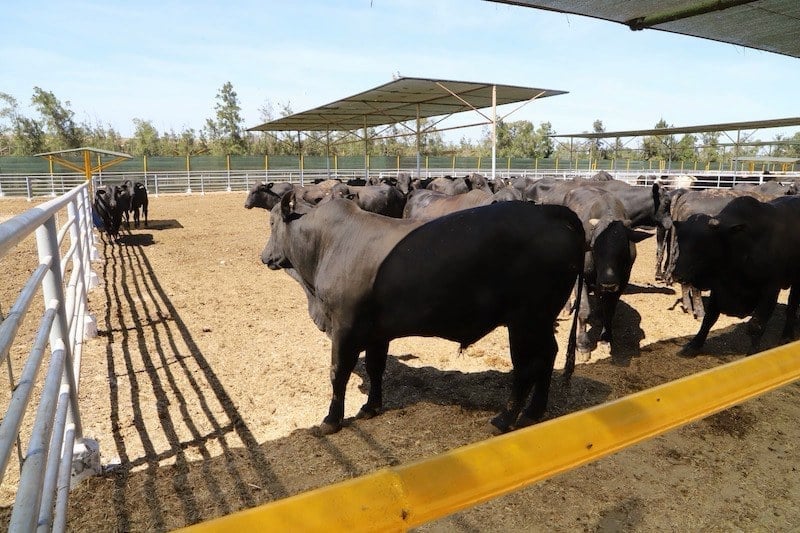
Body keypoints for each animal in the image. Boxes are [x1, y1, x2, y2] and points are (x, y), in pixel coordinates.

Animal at [261, 194, 585, 435]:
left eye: (272, 221)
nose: (264, 256)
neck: (328, 244)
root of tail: (549, 211)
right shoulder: (377, 332)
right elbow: (376, 368)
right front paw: (371, 407)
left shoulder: (345, 328)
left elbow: (337, 372)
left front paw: (331, 419)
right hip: (541, 321)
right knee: (548, 356)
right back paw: (534, 412)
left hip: (525, 321)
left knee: (527, 366)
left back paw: (505, 419)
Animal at [563, 186, 652, 358]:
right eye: (593, 246)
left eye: (624, 248)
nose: (608, 282)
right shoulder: (580, 277)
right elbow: (584, 311)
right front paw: (583, 345)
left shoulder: (621, 282)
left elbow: (609, 311)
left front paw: (605, 338)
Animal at [672, 195, 800, 356]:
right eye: (679, 241)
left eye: (702, 243)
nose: (677, 275)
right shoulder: (719, 288)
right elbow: (709, 318)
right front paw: (694, 344)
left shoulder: (770, 289)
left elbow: (756, 324)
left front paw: (753, 352)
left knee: (792, 306)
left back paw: (787, 336)